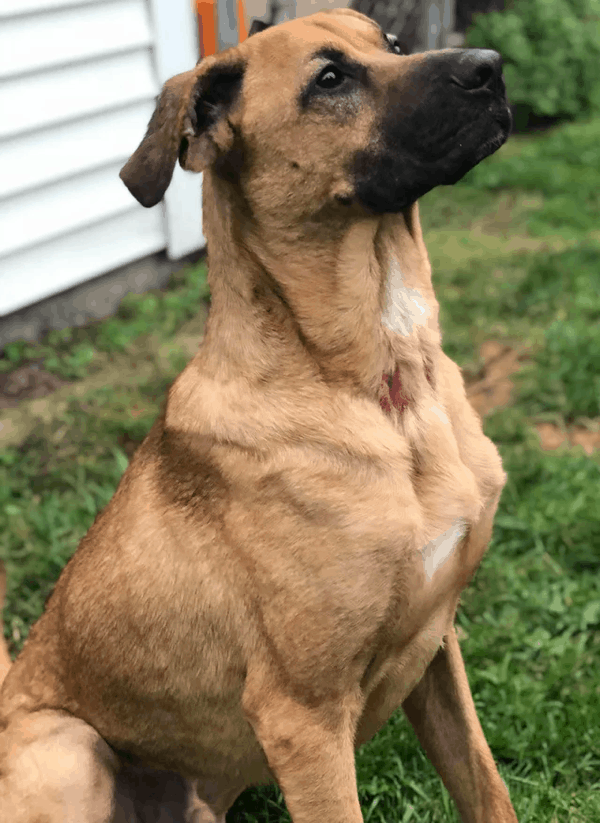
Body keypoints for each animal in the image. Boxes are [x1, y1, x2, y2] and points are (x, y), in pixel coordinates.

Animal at [0, 8, 516, 823]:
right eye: (329, 79)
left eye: (393, 44)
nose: (492, 67)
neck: (387, 386)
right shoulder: (301, 716)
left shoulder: (437, 644)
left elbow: (486, 786)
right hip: (68, 751)